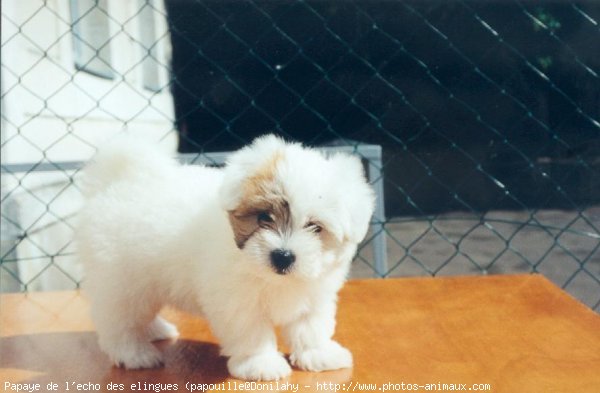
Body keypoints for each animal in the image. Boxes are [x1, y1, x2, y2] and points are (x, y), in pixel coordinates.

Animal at [77, 134, 372, 380]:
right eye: (263, 217)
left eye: (315, 227)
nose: (283, 256)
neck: (272, 278)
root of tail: (120, 181)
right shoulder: (237, 302)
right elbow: (252, 332)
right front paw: (261, 364)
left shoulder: (314, 295)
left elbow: (311, 326)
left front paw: (319, 354)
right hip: (121, 280)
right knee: (118, 320)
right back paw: (134, 353)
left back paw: (155, 330)